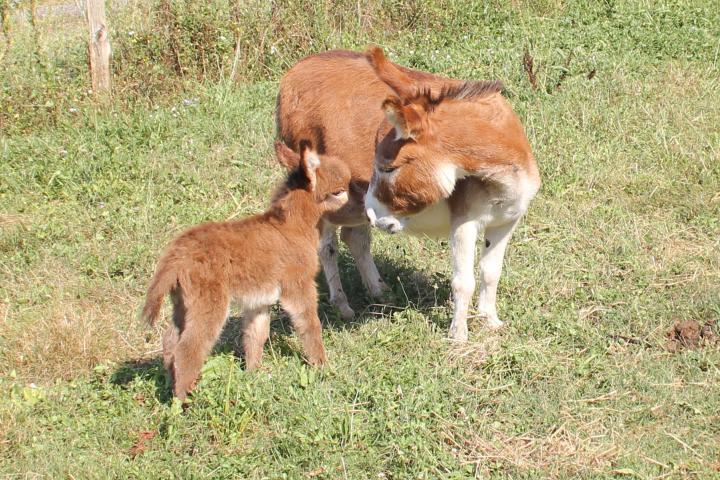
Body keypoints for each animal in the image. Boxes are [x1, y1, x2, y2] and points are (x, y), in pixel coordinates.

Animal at [141, 143, 352, 402]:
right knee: (189, 347)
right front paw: (322, 365)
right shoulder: (299, 286)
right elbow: (310, 325)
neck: (291, 228)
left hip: (183, 303)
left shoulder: (258, 301)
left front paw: (254, 375)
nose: (356, 200)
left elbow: (255, 334)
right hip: (209, 303)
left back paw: (172, 385)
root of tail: (175, 255)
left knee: (171, 339)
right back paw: (183, 400)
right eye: (339, 191)